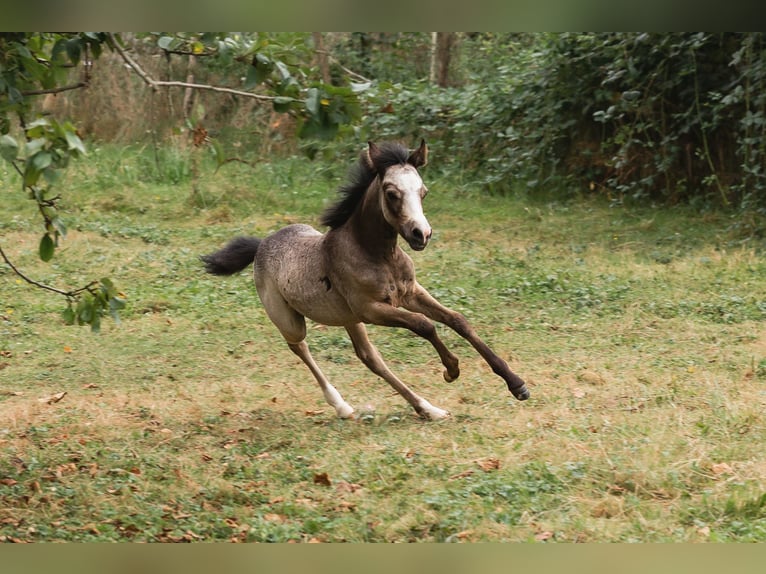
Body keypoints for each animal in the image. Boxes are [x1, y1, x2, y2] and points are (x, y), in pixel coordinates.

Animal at [201, 140, 532, 418]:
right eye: (392, 193)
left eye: (423, 191)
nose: (421, 234)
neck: (378, 255)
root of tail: (262, 245)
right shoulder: (372, 309)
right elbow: (424, 325)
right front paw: (451, 369)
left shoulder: (410, 293)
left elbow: (457, 320)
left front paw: (516, 384)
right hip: (293, 320)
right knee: (300, 347)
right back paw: (342, 406)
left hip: (348, 318)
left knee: (370, 358)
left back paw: (428, 409)